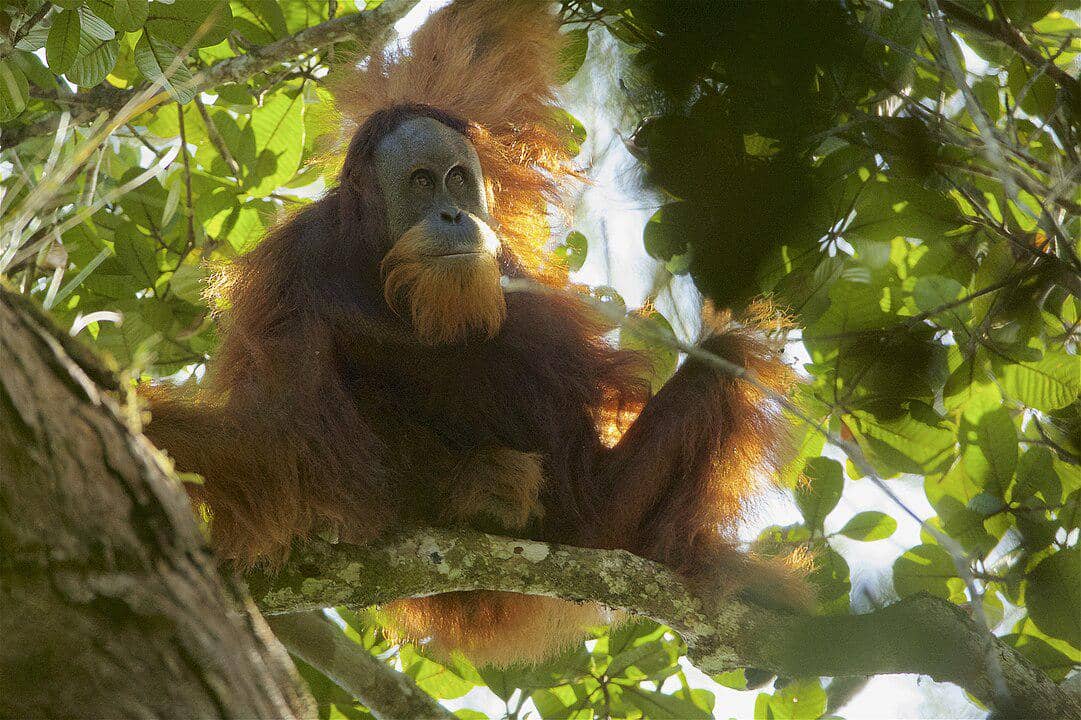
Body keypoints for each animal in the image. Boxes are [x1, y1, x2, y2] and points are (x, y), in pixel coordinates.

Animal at [142, 0, 812, 667]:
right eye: (420, 182)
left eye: (458, 178)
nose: (454, 214)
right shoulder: (288, 282)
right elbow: (283, 442)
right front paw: (151, 433)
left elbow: (476, 47)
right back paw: (484, 496)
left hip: (604, 511)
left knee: (722, 368)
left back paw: (701, 564)